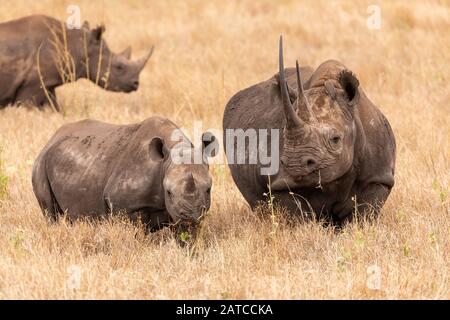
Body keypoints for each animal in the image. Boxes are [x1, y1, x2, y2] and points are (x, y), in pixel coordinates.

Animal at [0, 15, 153, 112]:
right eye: (119, 67)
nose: (136, 84)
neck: (78, 45)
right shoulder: (32, 85)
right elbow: (28, 107)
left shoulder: (47, 83)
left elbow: (54, 108)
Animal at [31, 116, 216, 231]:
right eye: (168, 192)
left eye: (208, 190)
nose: (190, 216)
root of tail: (51, 138)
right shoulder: (123, 204)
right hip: (40, 164)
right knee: (51, 214)